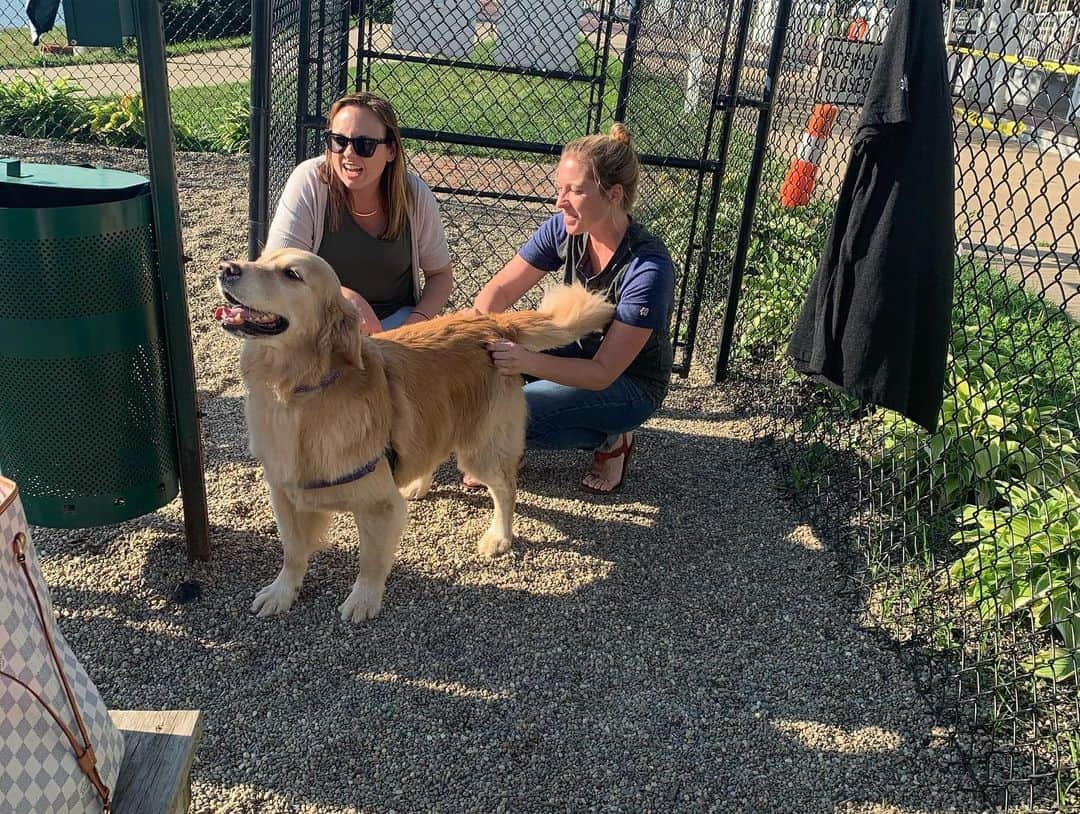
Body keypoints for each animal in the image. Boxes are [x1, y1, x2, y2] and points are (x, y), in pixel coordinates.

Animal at [214, 247, 617, 621]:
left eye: (291, 274)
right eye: (260, 256)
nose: (226, 267)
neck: (301, 392)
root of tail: (492, 324)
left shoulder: (377, 506)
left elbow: (370, 562)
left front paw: (363, 600)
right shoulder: (284, 491)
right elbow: (293, 552)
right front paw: (282, 592)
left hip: (481, 449)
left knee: (506, 488)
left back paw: (499, 536)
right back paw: (417, 484)